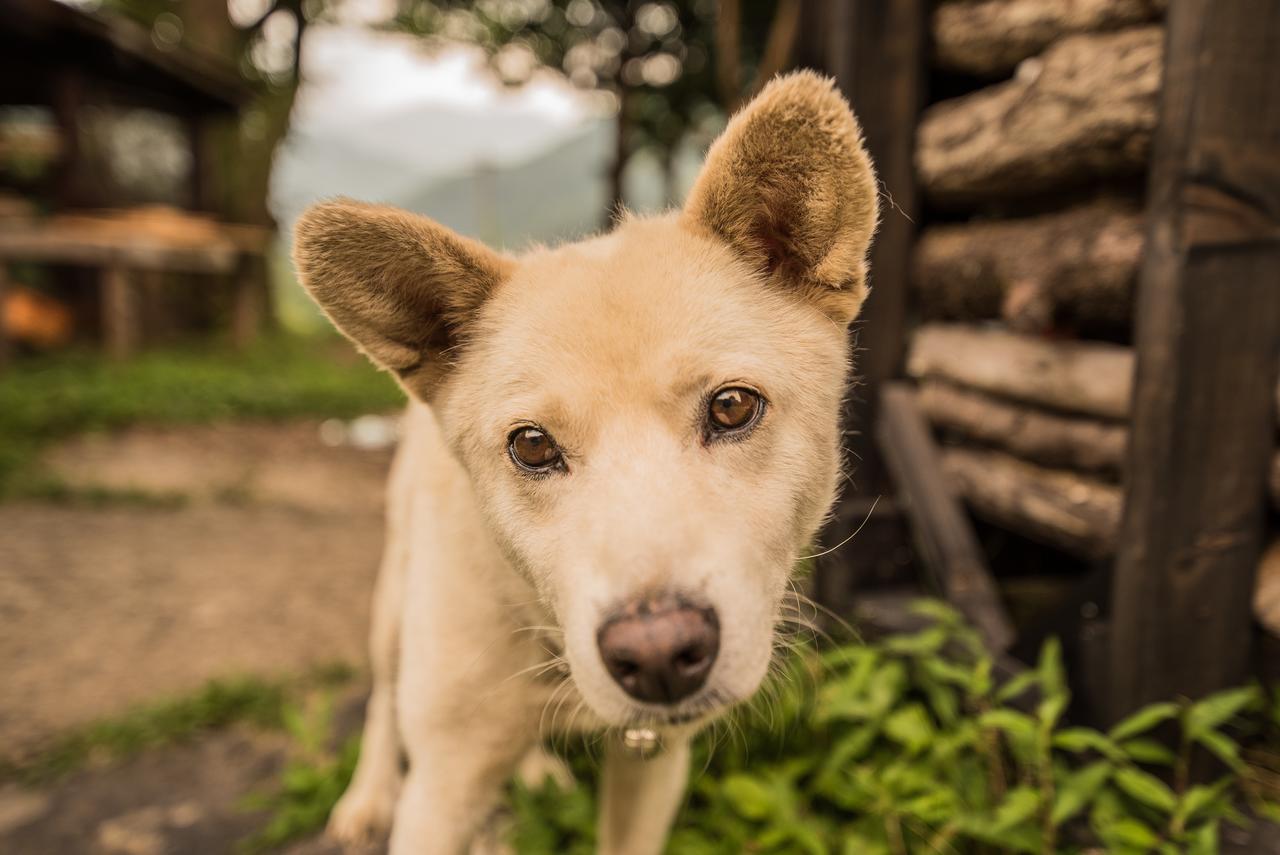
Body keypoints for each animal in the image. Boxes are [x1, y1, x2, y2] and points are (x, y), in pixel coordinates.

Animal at [291, 71, 875, 855]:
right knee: (384, 695)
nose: (657, 654)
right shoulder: (442, 788)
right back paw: (367, 795)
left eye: (731, 407)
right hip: (392, 598)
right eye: (532, 445)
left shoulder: (655, 763)